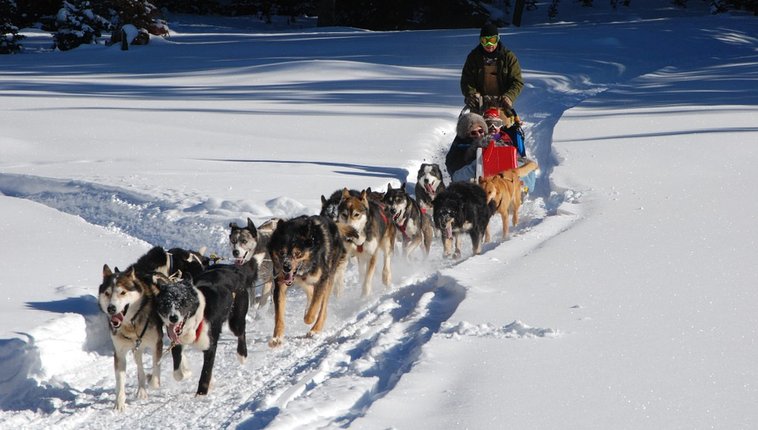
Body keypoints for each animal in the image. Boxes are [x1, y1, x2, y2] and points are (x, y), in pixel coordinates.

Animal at [268, 215, 350, 346]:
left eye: (297, 253)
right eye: (281, 252)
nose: (286, 267)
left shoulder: (322, 279)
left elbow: (314, 309)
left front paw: (309, 318)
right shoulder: (280, 284)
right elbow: (279, 316)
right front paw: (277, 338)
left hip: (329, 278)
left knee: (322, 308)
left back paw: (315, 329)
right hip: (304, 281)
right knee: (311, 293)